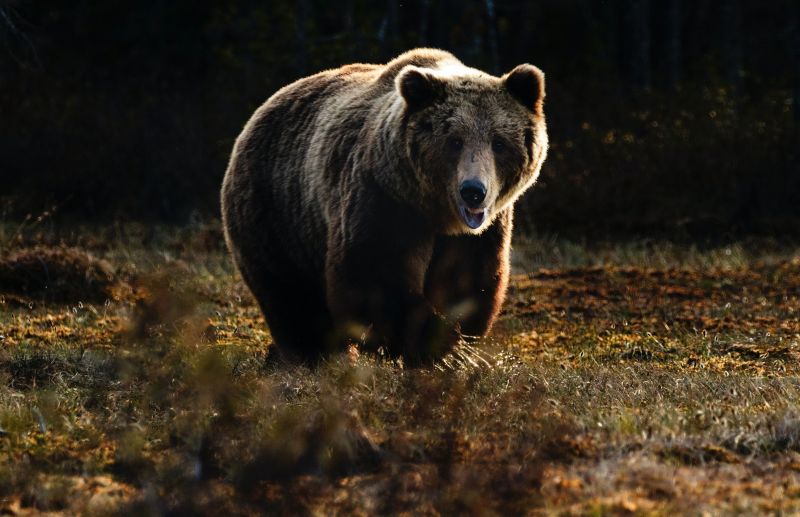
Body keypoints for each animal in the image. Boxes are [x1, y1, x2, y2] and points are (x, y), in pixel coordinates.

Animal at [222, 47, 548, 362]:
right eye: (454, 141)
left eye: (498, 142)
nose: (473, 191)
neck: (436, 212)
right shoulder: (382, 199)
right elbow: (374, 276)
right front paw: (438, 345)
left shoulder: (481, 232)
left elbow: (468, 281)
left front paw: (454, 343)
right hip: (277, 212)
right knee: (291, 295)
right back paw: (311, 354)